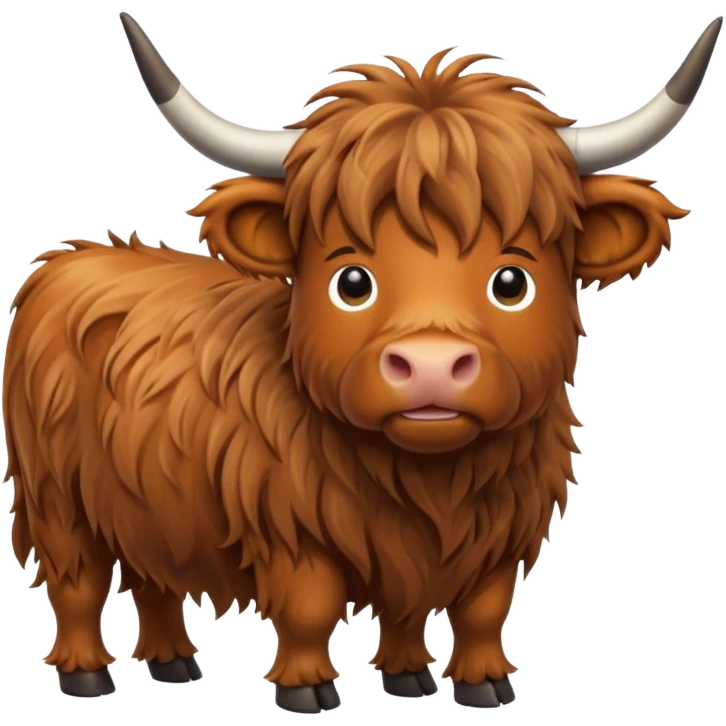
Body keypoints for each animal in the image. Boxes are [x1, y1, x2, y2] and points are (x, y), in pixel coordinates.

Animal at [1, 10, 721, 712]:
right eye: (351, 281)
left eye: (512, 281)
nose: (431, 364)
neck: (428, 485)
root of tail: (74, 256)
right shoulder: (290, 529)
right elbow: (310, 606)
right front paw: (306, 688)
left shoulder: (499, 533)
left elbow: (477, 609)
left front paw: (450, 680)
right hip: (55, 495)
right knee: (76, 581)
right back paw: (87, 674)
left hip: (146, 500)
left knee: (153, 575)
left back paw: (174, 663)